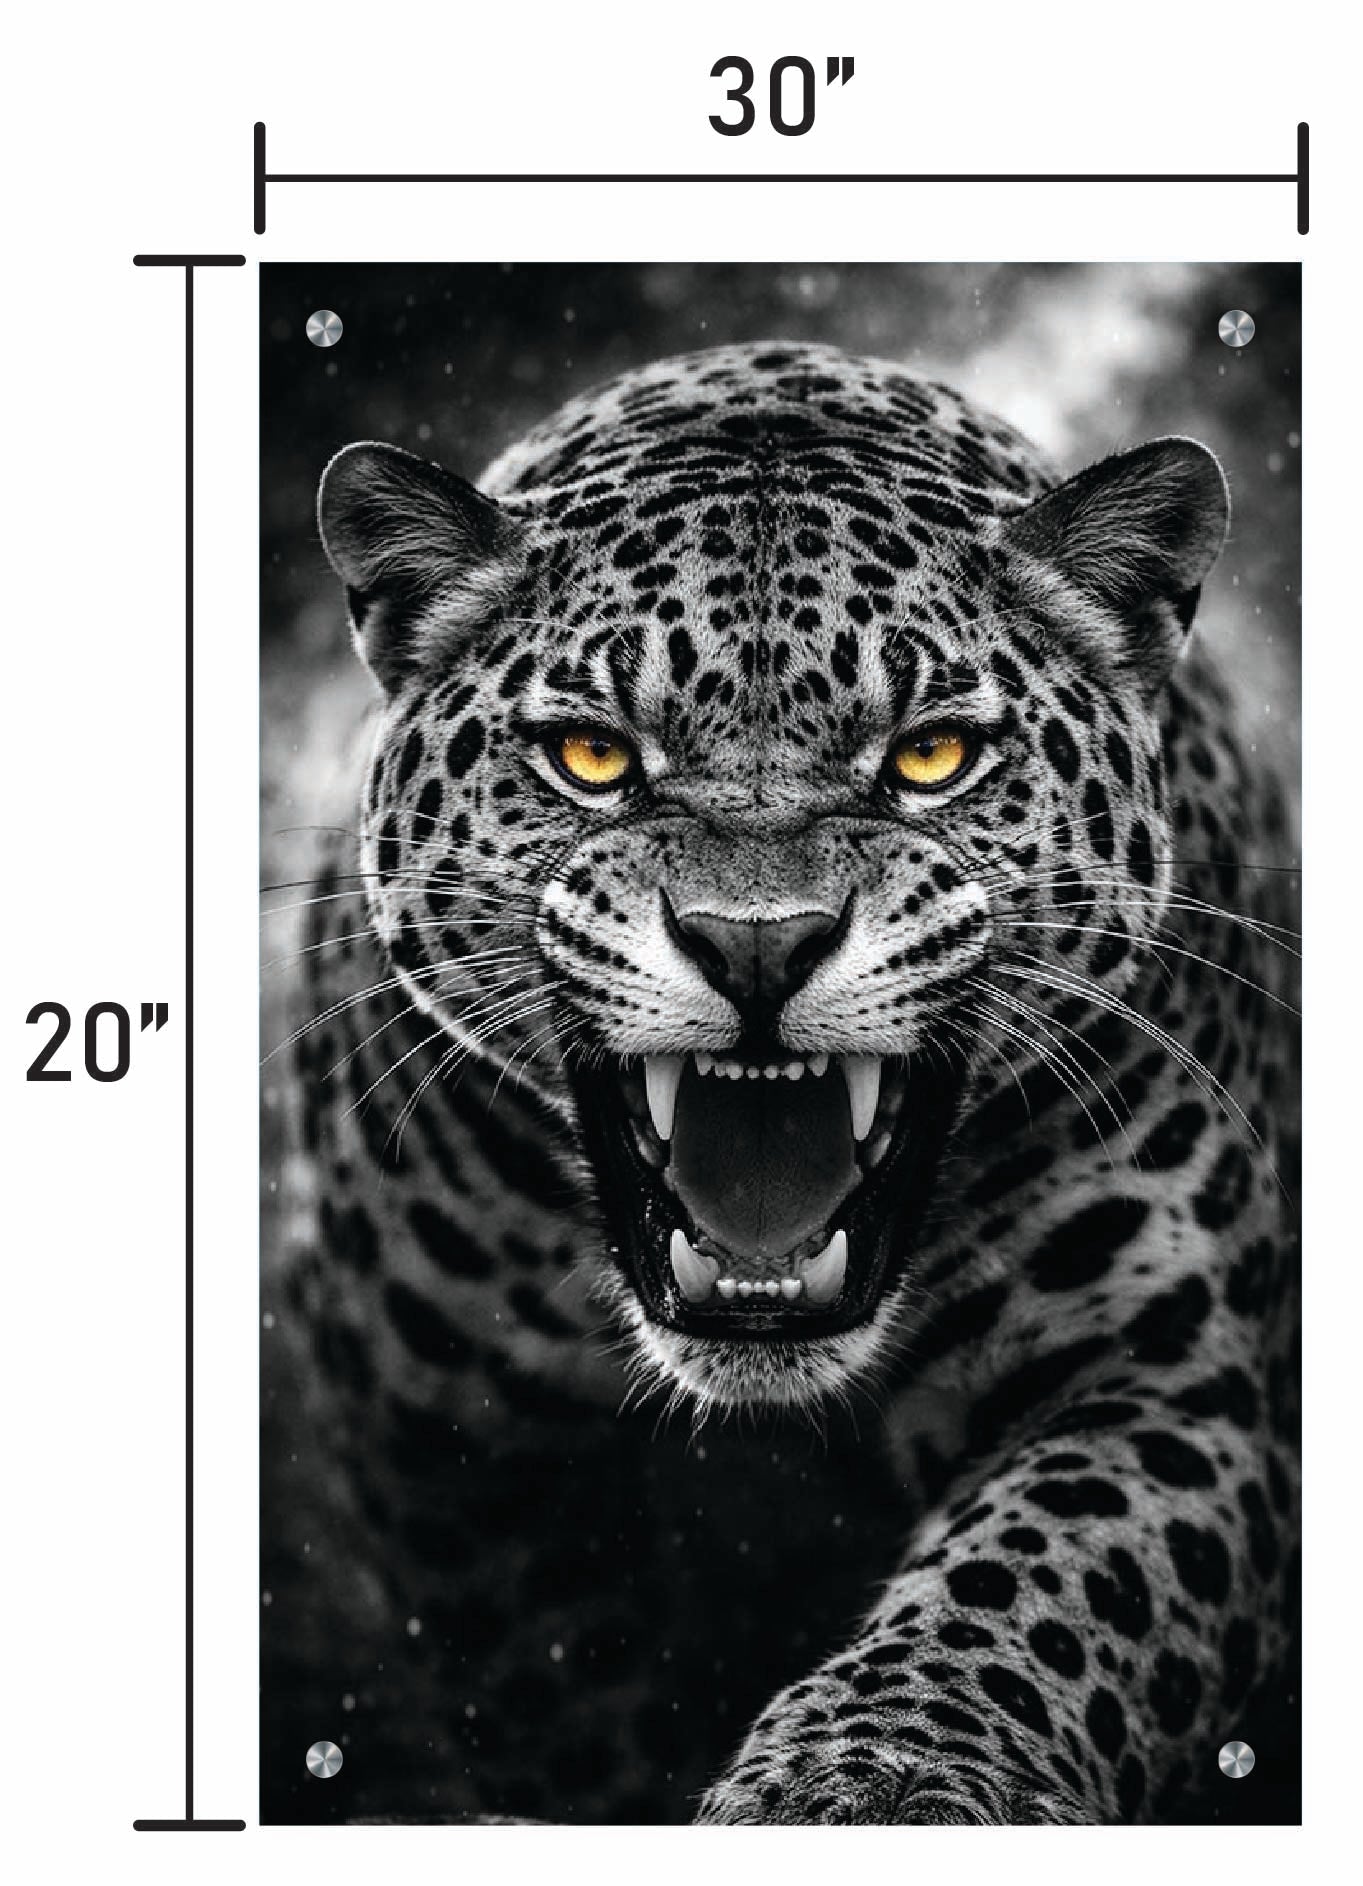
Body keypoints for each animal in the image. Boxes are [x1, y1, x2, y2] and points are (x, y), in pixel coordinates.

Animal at [272, 340, 1299, 1825]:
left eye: (930, 754)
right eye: (592, 755)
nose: (755, 941)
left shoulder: (1161, 1379)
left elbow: (1030, 1587)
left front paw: (873, 1780)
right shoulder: (451, 1433)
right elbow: (559, 1680)